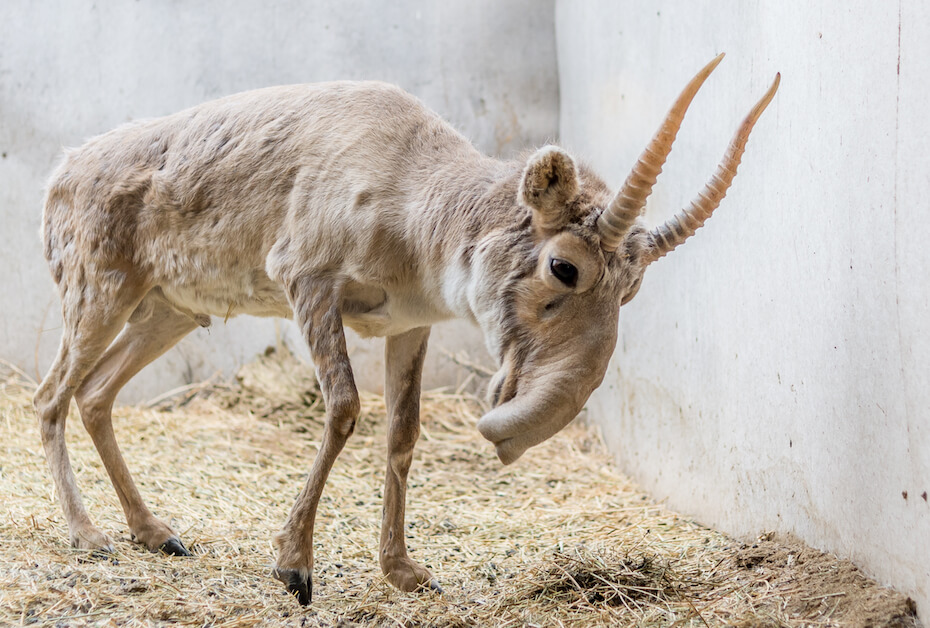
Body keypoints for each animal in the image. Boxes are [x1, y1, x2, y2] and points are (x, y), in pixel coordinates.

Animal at [34, 54, 778, 605]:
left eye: (633, 288)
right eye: (564, 267)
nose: (514, 432)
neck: (414, 199)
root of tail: (60, 172)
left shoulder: (411, 324)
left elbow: (402, 433)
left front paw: (405, 572)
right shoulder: (306, 279)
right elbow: (343, 408)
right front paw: (295, 566)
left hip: (169, 309)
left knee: (96, 395)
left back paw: (155, 532)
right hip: (97, 292)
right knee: (50, 396)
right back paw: (89, 534)